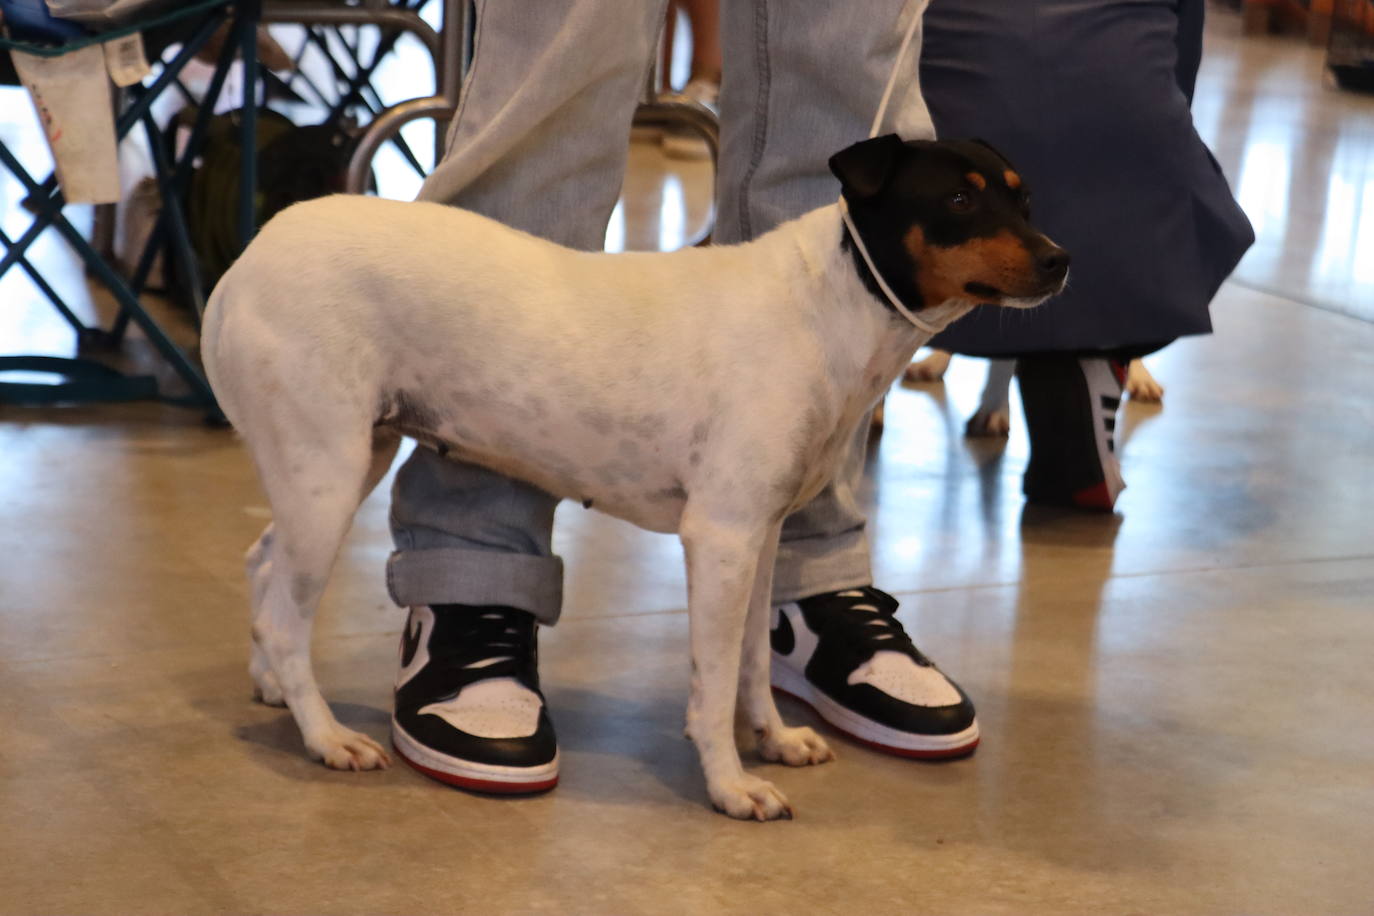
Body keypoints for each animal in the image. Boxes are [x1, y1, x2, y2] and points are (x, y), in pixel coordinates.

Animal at [199, 132, 1066, 818]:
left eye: (1023, 198)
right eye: (960, 198)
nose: (1062, 261)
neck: (826, 308)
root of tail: (250, 257)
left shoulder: (760, 535)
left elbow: (752, 662)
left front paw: (775, 738)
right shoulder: (719, 538)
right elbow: (713, 684)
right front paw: (730, 785)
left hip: (335, 462)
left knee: (262, 566)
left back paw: (272, 684)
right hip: (328, 471)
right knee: (287, 616)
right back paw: (325, 736)